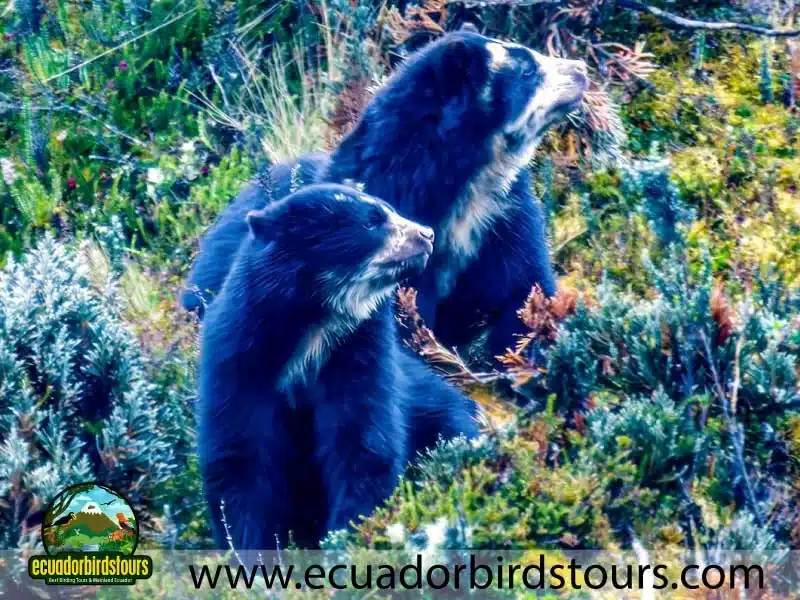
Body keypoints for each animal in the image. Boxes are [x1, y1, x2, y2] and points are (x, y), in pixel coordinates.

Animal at [197, 183, 477, 550]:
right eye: (372, 221)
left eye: (388, 209)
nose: (426, 234)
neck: (313, 329)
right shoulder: (237, 360)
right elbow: (239, 459)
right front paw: (250, 549)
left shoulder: (359, 351)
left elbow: (363, 441)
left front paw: (344, 534)